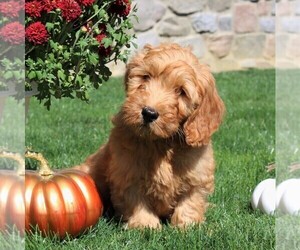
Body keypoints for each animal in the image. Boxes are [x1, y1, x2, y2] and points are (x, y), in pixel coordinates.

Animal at [76, 43, 224, 229]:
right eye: (146, 77)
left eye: (182, 92)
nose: (149, 113)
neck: (161, 142)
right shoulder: (129, 172)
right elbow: (136, 200)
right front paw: (145, 225)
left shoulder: (197, 173)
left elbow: (190, 200)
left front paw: (187, 225)